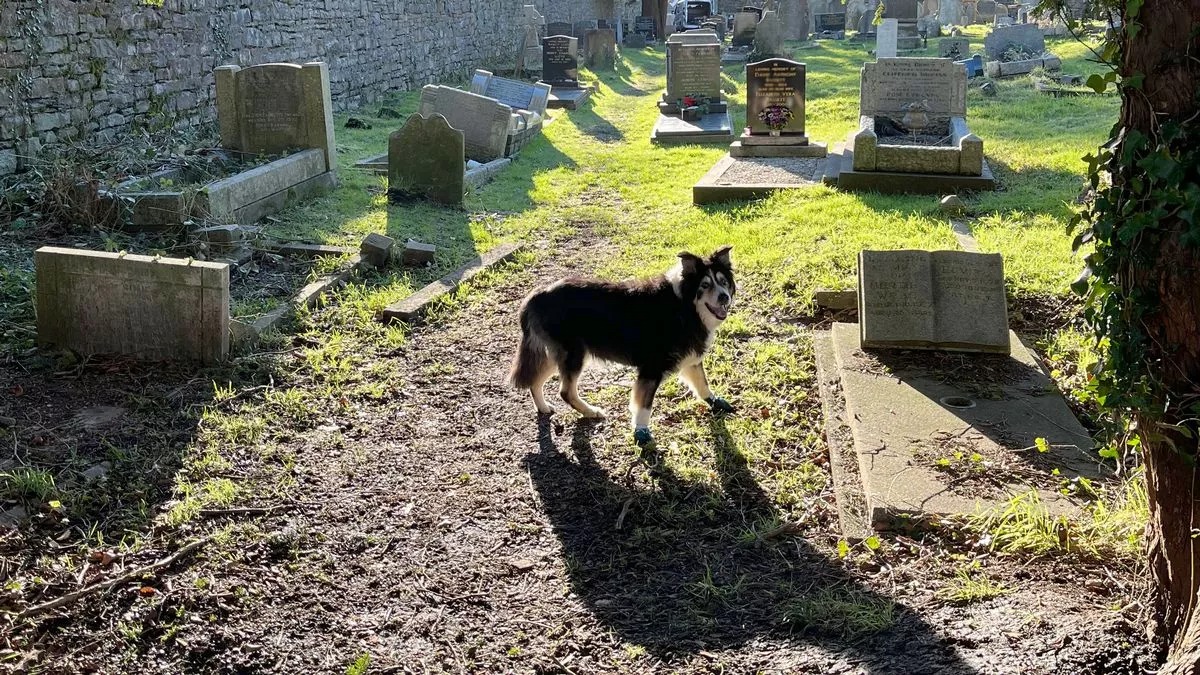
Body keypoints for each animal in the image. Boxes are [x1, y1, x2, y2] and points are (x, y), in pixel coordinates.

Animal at [504, 246, 729, 441]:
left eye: (724, 282)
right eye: (705, 285)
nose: (725, 297)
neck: (685, 306)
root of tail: (537, 294)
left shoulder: (691, 357)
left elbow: (701, 382)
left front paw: (713, 401)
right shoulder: (651, 368)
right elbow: (644, 405)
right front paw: (641, 431)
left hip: (557, 353)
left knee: (535, 381)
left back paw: (543, 407)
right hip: (574, 354)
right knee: (565, 391)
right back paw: (591, 411)